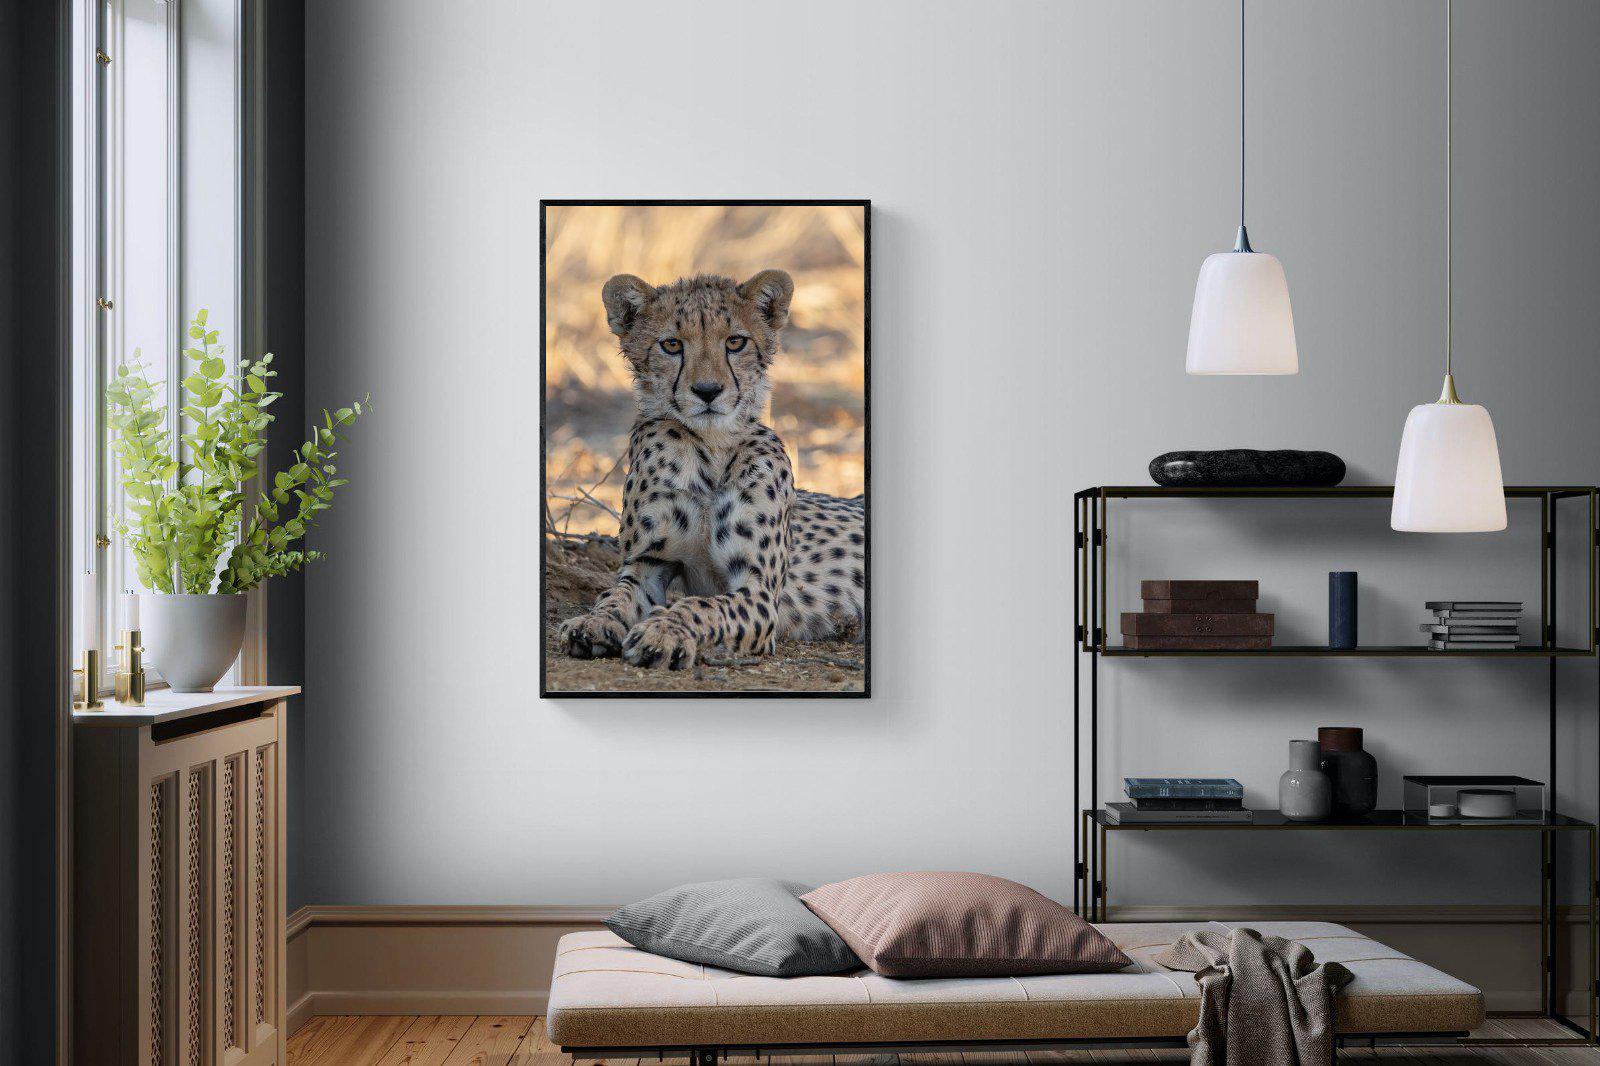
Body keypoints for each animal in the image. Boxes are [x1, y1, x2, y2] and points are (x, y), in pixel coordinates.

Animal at [556, 268, 866, 671]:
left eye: (735, 341)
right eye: (672, 345)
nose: (707, 391)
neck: (710, 450)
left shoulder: (758, 591)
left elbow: (701, 606)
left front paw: (663, 632)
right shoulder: (648, 564)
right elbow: (615, 595)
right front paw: (593, 623)